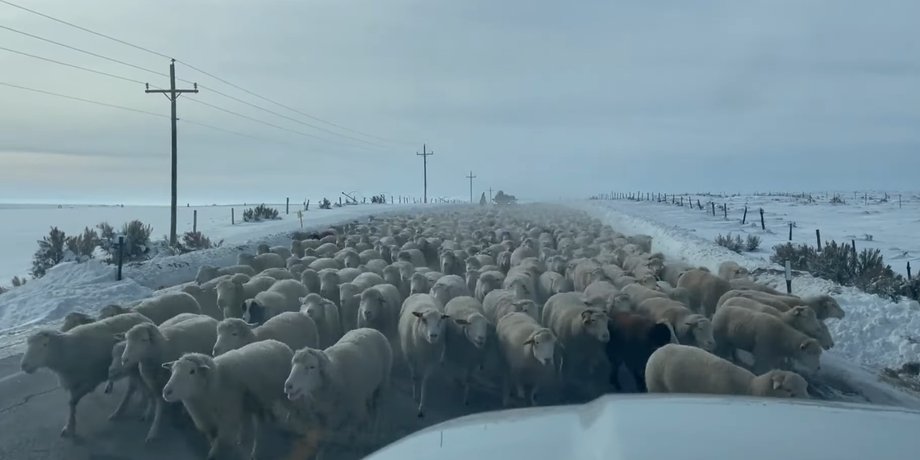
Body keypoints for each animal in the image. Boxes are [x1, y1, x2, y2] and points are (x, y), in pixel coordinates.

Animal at [20, 312, 152, 438]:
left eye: (44, 345)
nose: (24, 365)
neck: (66, 351)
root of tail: (141, 316)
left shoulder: (90, 381)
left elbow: (72, 402)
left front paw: (70, 427)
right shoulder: (72, 382)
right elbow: (71, 404)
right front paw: (69, 426)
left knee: (132, 387)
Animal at [162, 340, 294, 460]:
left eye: (192, 371)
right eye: (172, 370)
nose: (167, 392)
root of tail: (278, 342)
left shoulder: (228, 419)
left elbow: (222, 442)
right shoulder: (207, 423)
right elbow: (214, 440)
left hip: (283, 395)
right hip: (258, 400)